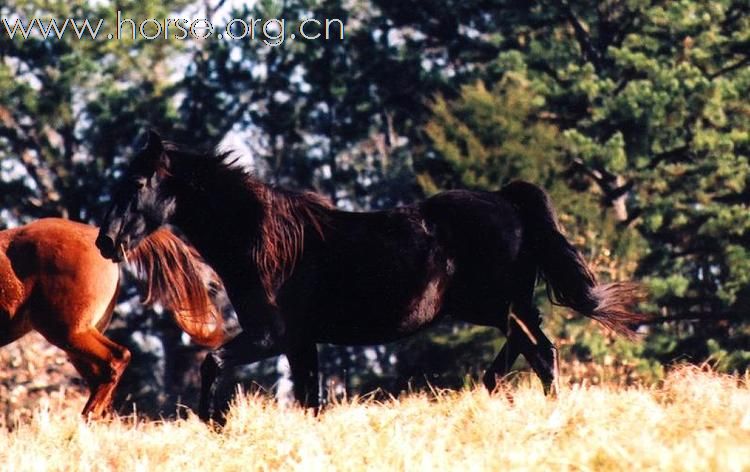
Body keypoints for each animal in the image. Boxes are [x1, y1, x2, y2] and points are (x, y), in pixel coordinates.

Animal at [0, 218, 225, 416]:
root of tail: (95, 235)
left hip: (68, 332)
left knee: (116, 358)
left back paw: (86, 420)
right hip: (78, 338)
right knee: (101, 376)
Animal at [97, 130, 644, 420]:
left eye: (138, 181)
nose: (106, 241)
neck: (262, 240)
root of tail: (508, 200)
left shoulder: (271, 335)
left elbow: (213, 364)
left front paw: (215, 423)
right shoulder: (301, 343)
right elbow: (311, 400)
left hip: (497, 306)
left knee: (543, 353)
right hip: (502, 307)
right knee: (525, 348)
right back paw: (493, 387)